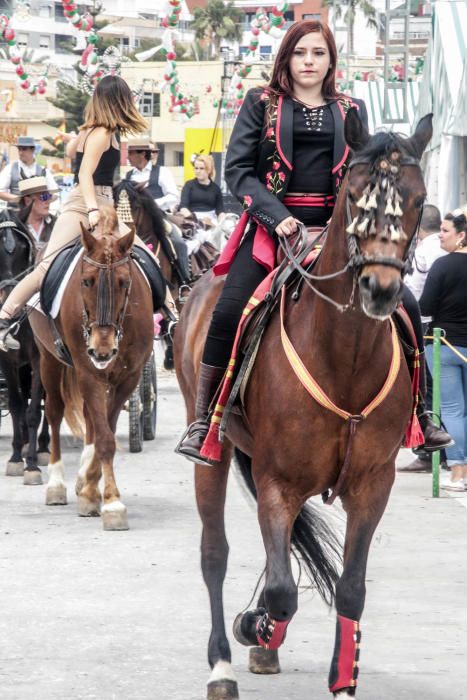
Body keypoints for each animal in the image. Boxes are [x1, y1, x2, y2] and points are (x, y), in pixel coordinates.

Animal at [29, 208, 154, 532]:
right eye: (86, 281)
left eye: (124, 282)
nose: (102, 349)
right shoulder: (89, 374)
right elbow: (105, 438)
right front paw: (111, 503)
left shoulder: (128, 378)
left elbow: (103, 432)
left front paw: (91, 488)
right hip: (48, 361)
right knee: (55, 413)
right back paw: (56, 484)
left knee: (89, 420)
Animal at [176, 108, 436, 696]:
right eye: (355, 197)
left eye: (417, 200)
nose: (381, 288)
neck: (345, 359)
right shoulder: (279, 481)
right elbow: (280, 593)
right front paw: (253, 626)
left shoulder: (373, 485)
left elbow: (350, 587)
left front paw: (343, 677)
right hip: (215, 451)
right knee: (214, 554)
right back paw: (223, 662)